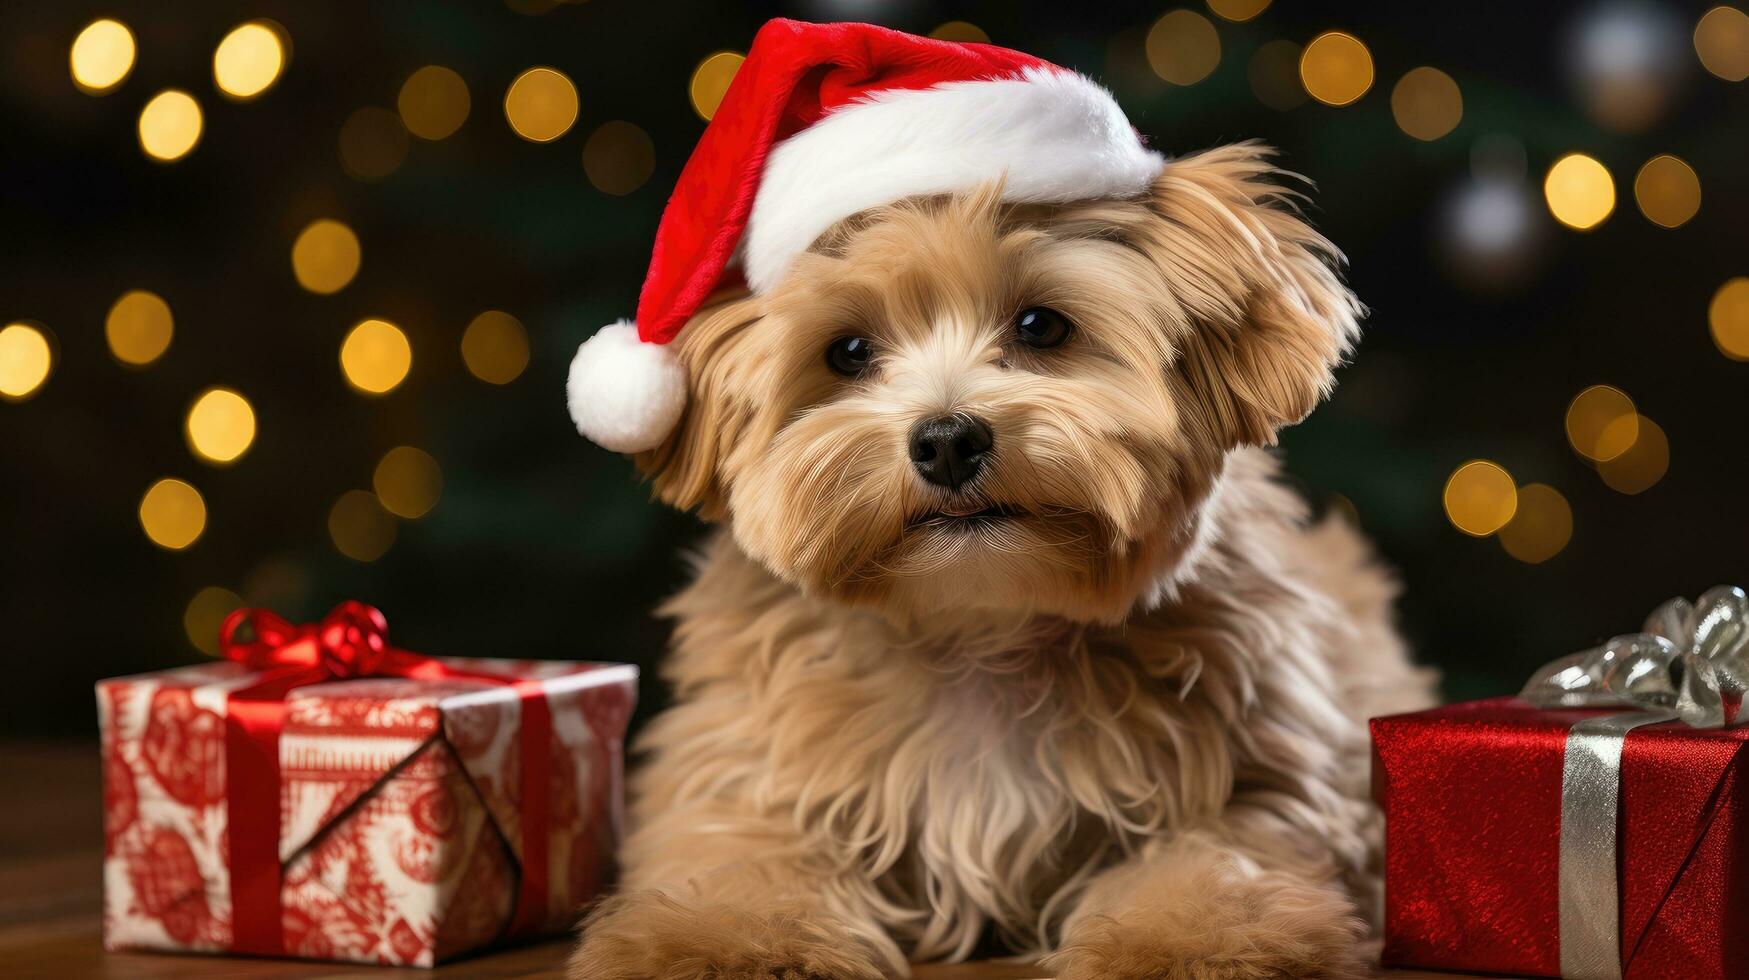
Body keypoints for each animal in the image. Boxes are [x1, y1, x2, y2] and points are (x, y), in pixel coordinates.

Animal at [573, 143, 1434, 980]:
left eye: (1041, 326)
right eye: (847, 352)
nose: (948, 441)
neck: (978, 623)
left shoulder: (1264, 770)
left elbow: (1220, 851)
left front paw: (1201, 939)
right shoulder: (741, 767)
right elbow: (738, 851)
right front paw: (723, 940)